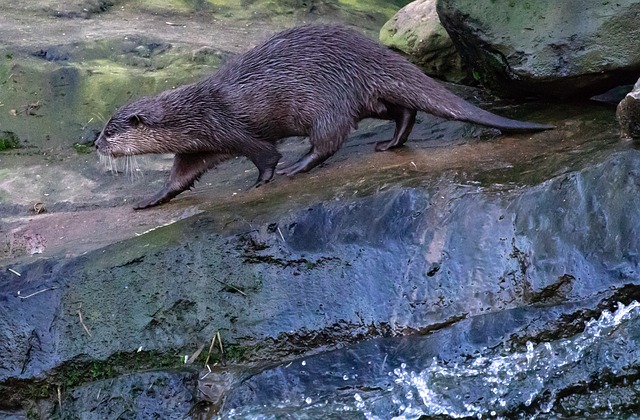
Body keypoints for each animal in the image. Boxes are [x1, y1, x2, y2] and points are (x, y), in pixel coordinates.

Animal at [96, 24, 556, 208]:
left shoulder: (227, 128)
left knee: (329, 139)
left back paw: (300, 167)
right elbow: (180, 177)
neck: (193, 113)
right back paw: (391, 143)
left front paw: (264, 180)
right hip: (363, 96)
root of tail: (370, 51)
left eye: (111, 131)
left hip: (325, 100)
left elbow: (264, 154)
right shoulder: (198, 146)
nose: (96, 144)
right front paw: (150, 199)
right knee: (402, 108)